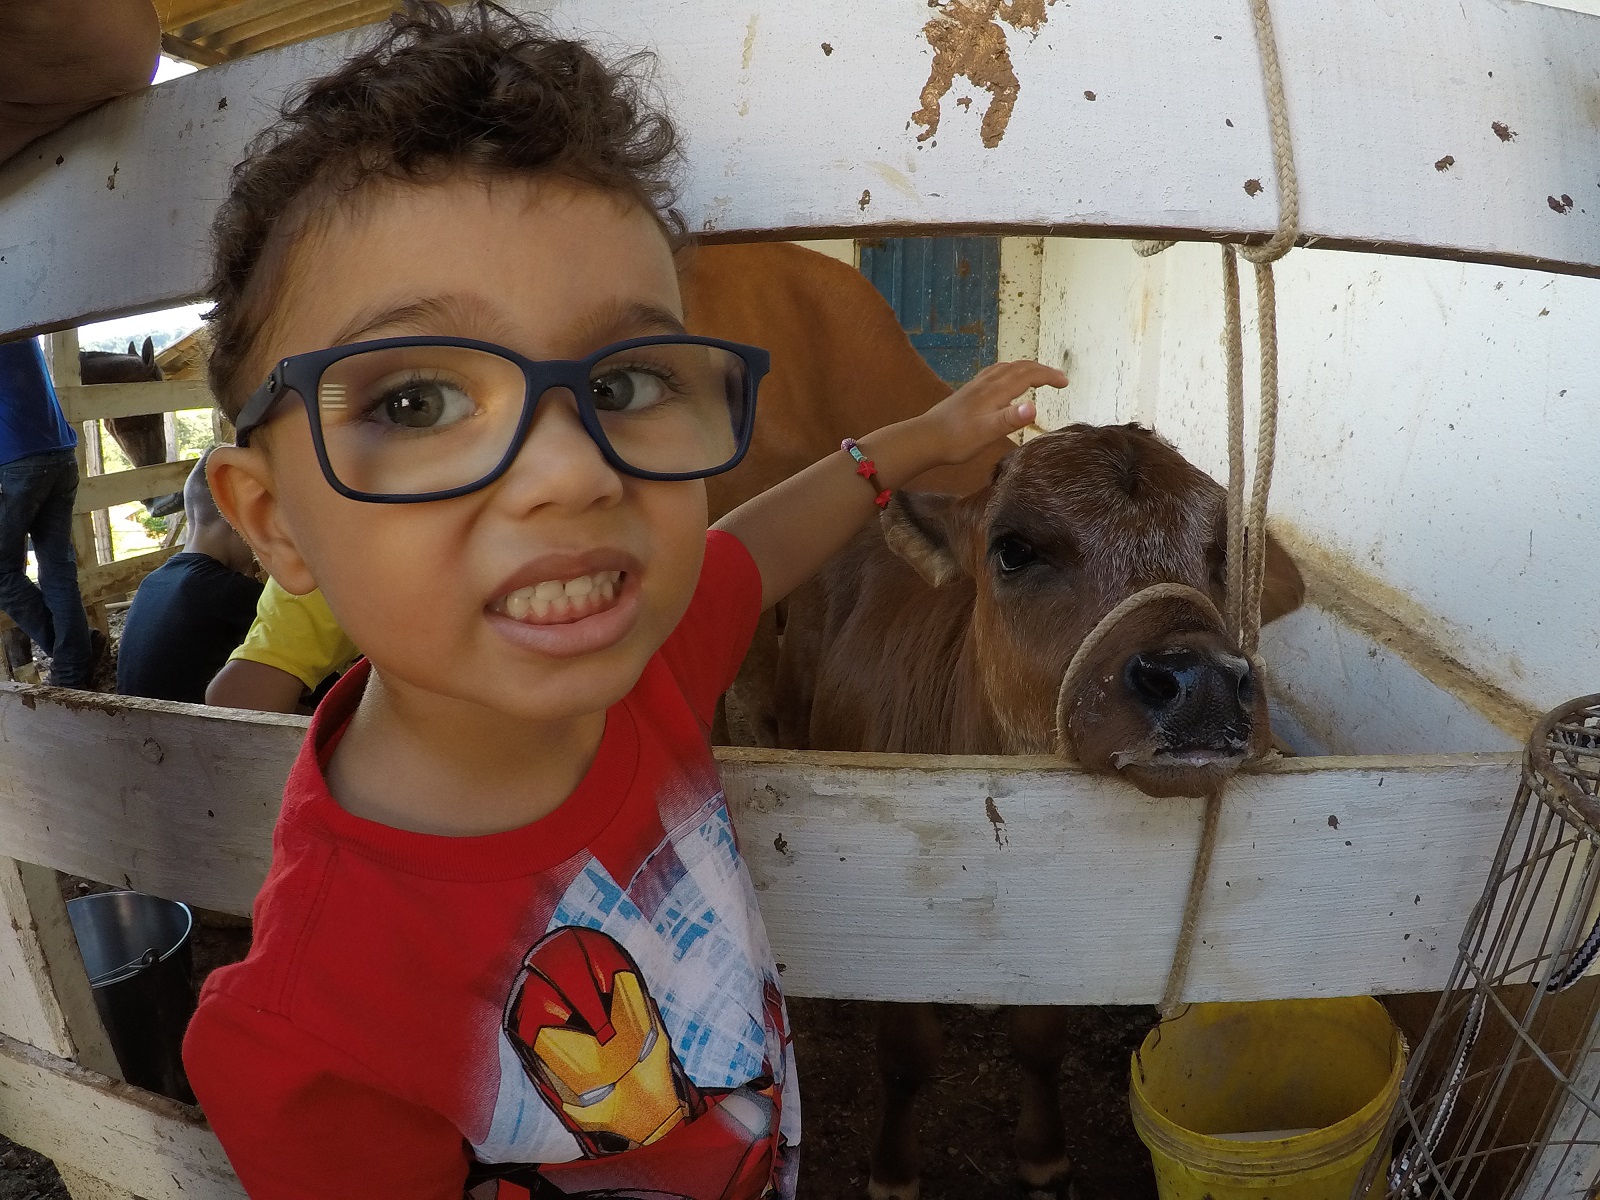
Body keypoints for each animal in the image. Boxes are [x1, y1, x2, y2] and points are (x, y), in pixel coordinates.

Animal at [773, 421, 1306, 1200]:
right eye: (1014, 549)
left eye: (1225, 554)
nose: (1203, 679)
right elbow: (906, 1055)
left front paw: (1043, 1155)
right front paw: (894, 1171)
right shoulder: (892, 921)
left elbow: (1041, 1040)